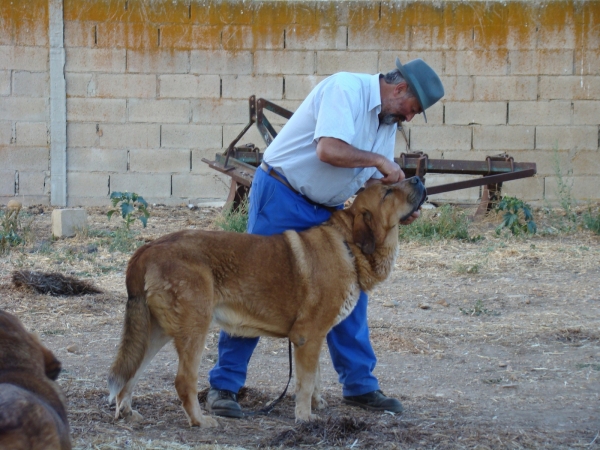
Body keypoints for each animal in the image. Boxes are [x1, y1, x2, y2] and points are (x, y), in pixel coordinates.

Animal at [109, 178, 426, 428]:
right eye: (388, 191)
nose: (418, 178)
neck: (348, 244)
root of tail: (147, 248)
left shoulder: (314, 338)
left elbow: (315, 377)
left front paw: (316, 405)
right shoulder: (307, 336)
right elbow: (304, 383)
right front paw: (305, 418)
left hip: (155, 332)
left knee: (131, 373)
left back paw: (126, 412)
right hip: (194, 329)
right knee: (183, 381)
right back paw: (200, 421)